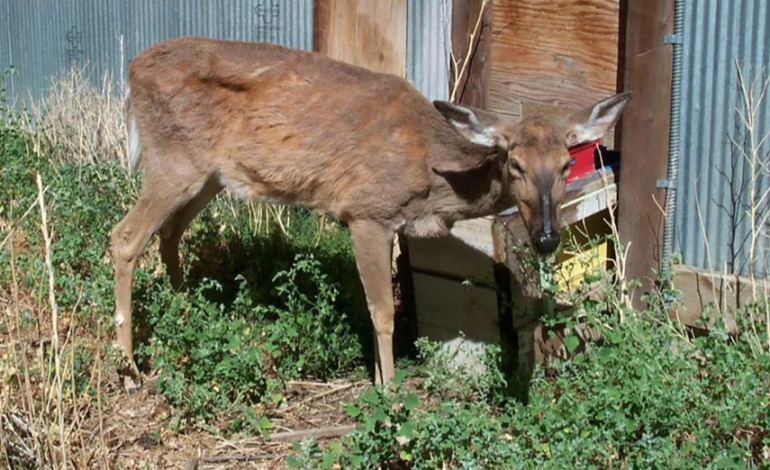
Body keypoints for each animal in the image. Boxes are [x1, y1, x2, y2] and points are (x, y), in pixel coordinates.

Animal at [112, 37, 632, 390]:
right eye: (515, 163)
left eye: (565, 165)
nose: (546, 237)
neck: (432, 176)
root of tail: (131, 70)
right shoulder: (365, 212)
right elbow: (382, 312)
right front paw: (389, 390)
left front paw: (384, 380)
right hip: (172, 163)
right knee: (125, 238)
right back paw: (132, 368)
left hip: (209, 176)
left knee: (168, 235)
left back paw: (187, 314)